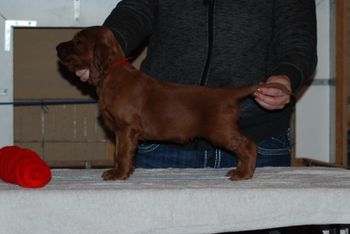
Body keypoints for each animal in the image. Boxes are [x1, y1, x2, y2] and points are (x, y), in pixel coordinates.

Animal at [56, 26, 292, 181]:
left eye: (78, 41)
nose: (57, 47)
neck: (111, 73)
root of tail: (226, 94)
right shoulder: (121, 130)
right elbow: (122, 153)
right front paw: (125, 171)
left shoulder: (126, 127)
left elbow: (122, 153)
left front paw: (118, 174)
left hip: (220, 131)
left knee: (248, 145)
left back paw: (243, 173)